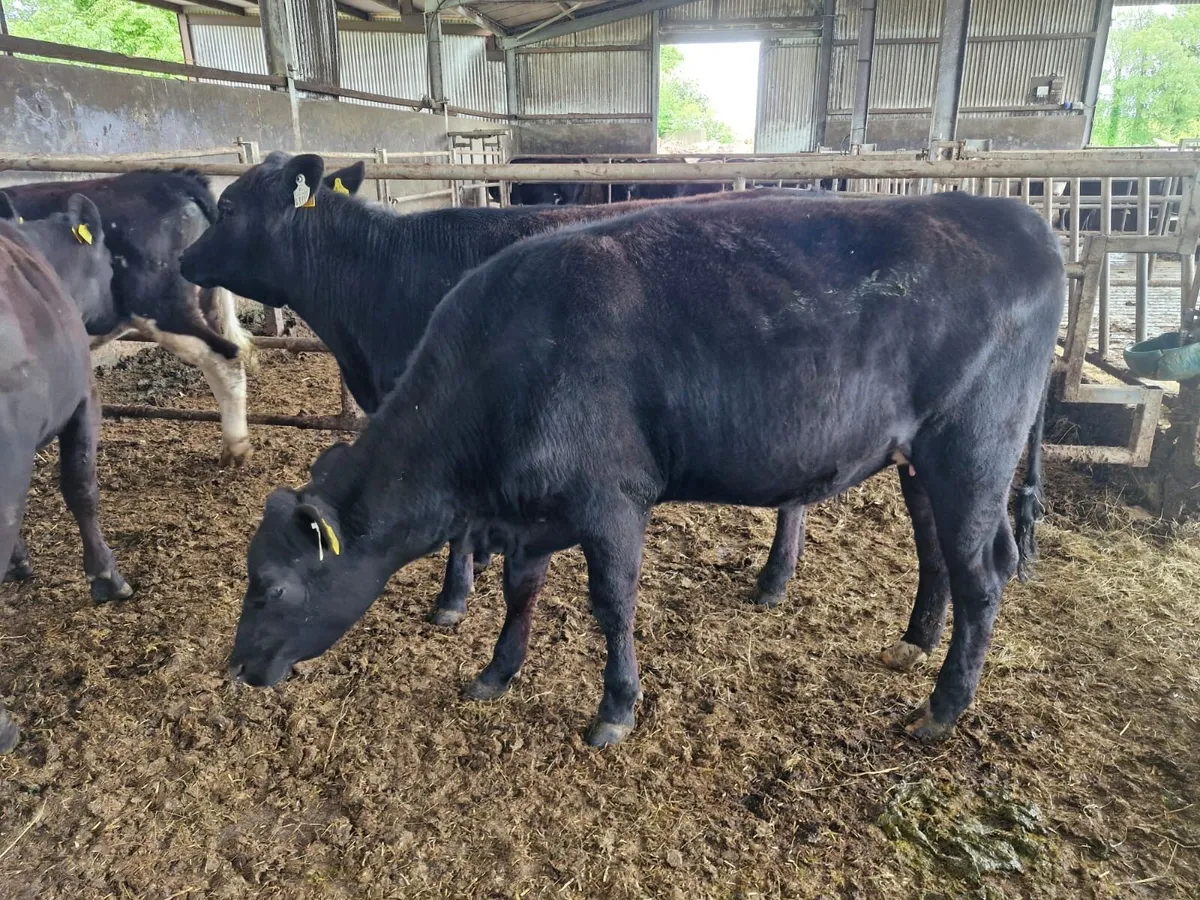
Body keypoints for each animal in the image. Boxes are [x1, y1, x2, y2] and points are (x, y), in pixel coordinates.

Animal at [223, 187, 1063, 748]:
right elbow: (521, 591)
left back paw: (942, 708)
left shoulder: (613, 502)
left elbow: (613, 606)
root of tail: (1013, 217)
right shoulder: (531, 514)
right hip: (921, 457)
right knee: (938, 549)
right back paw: (913, 639)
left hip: (972, 450)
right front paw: (498, 672)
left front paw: (615, 709)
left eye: (270, 587)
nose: (236, 668)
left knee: (982, 571)